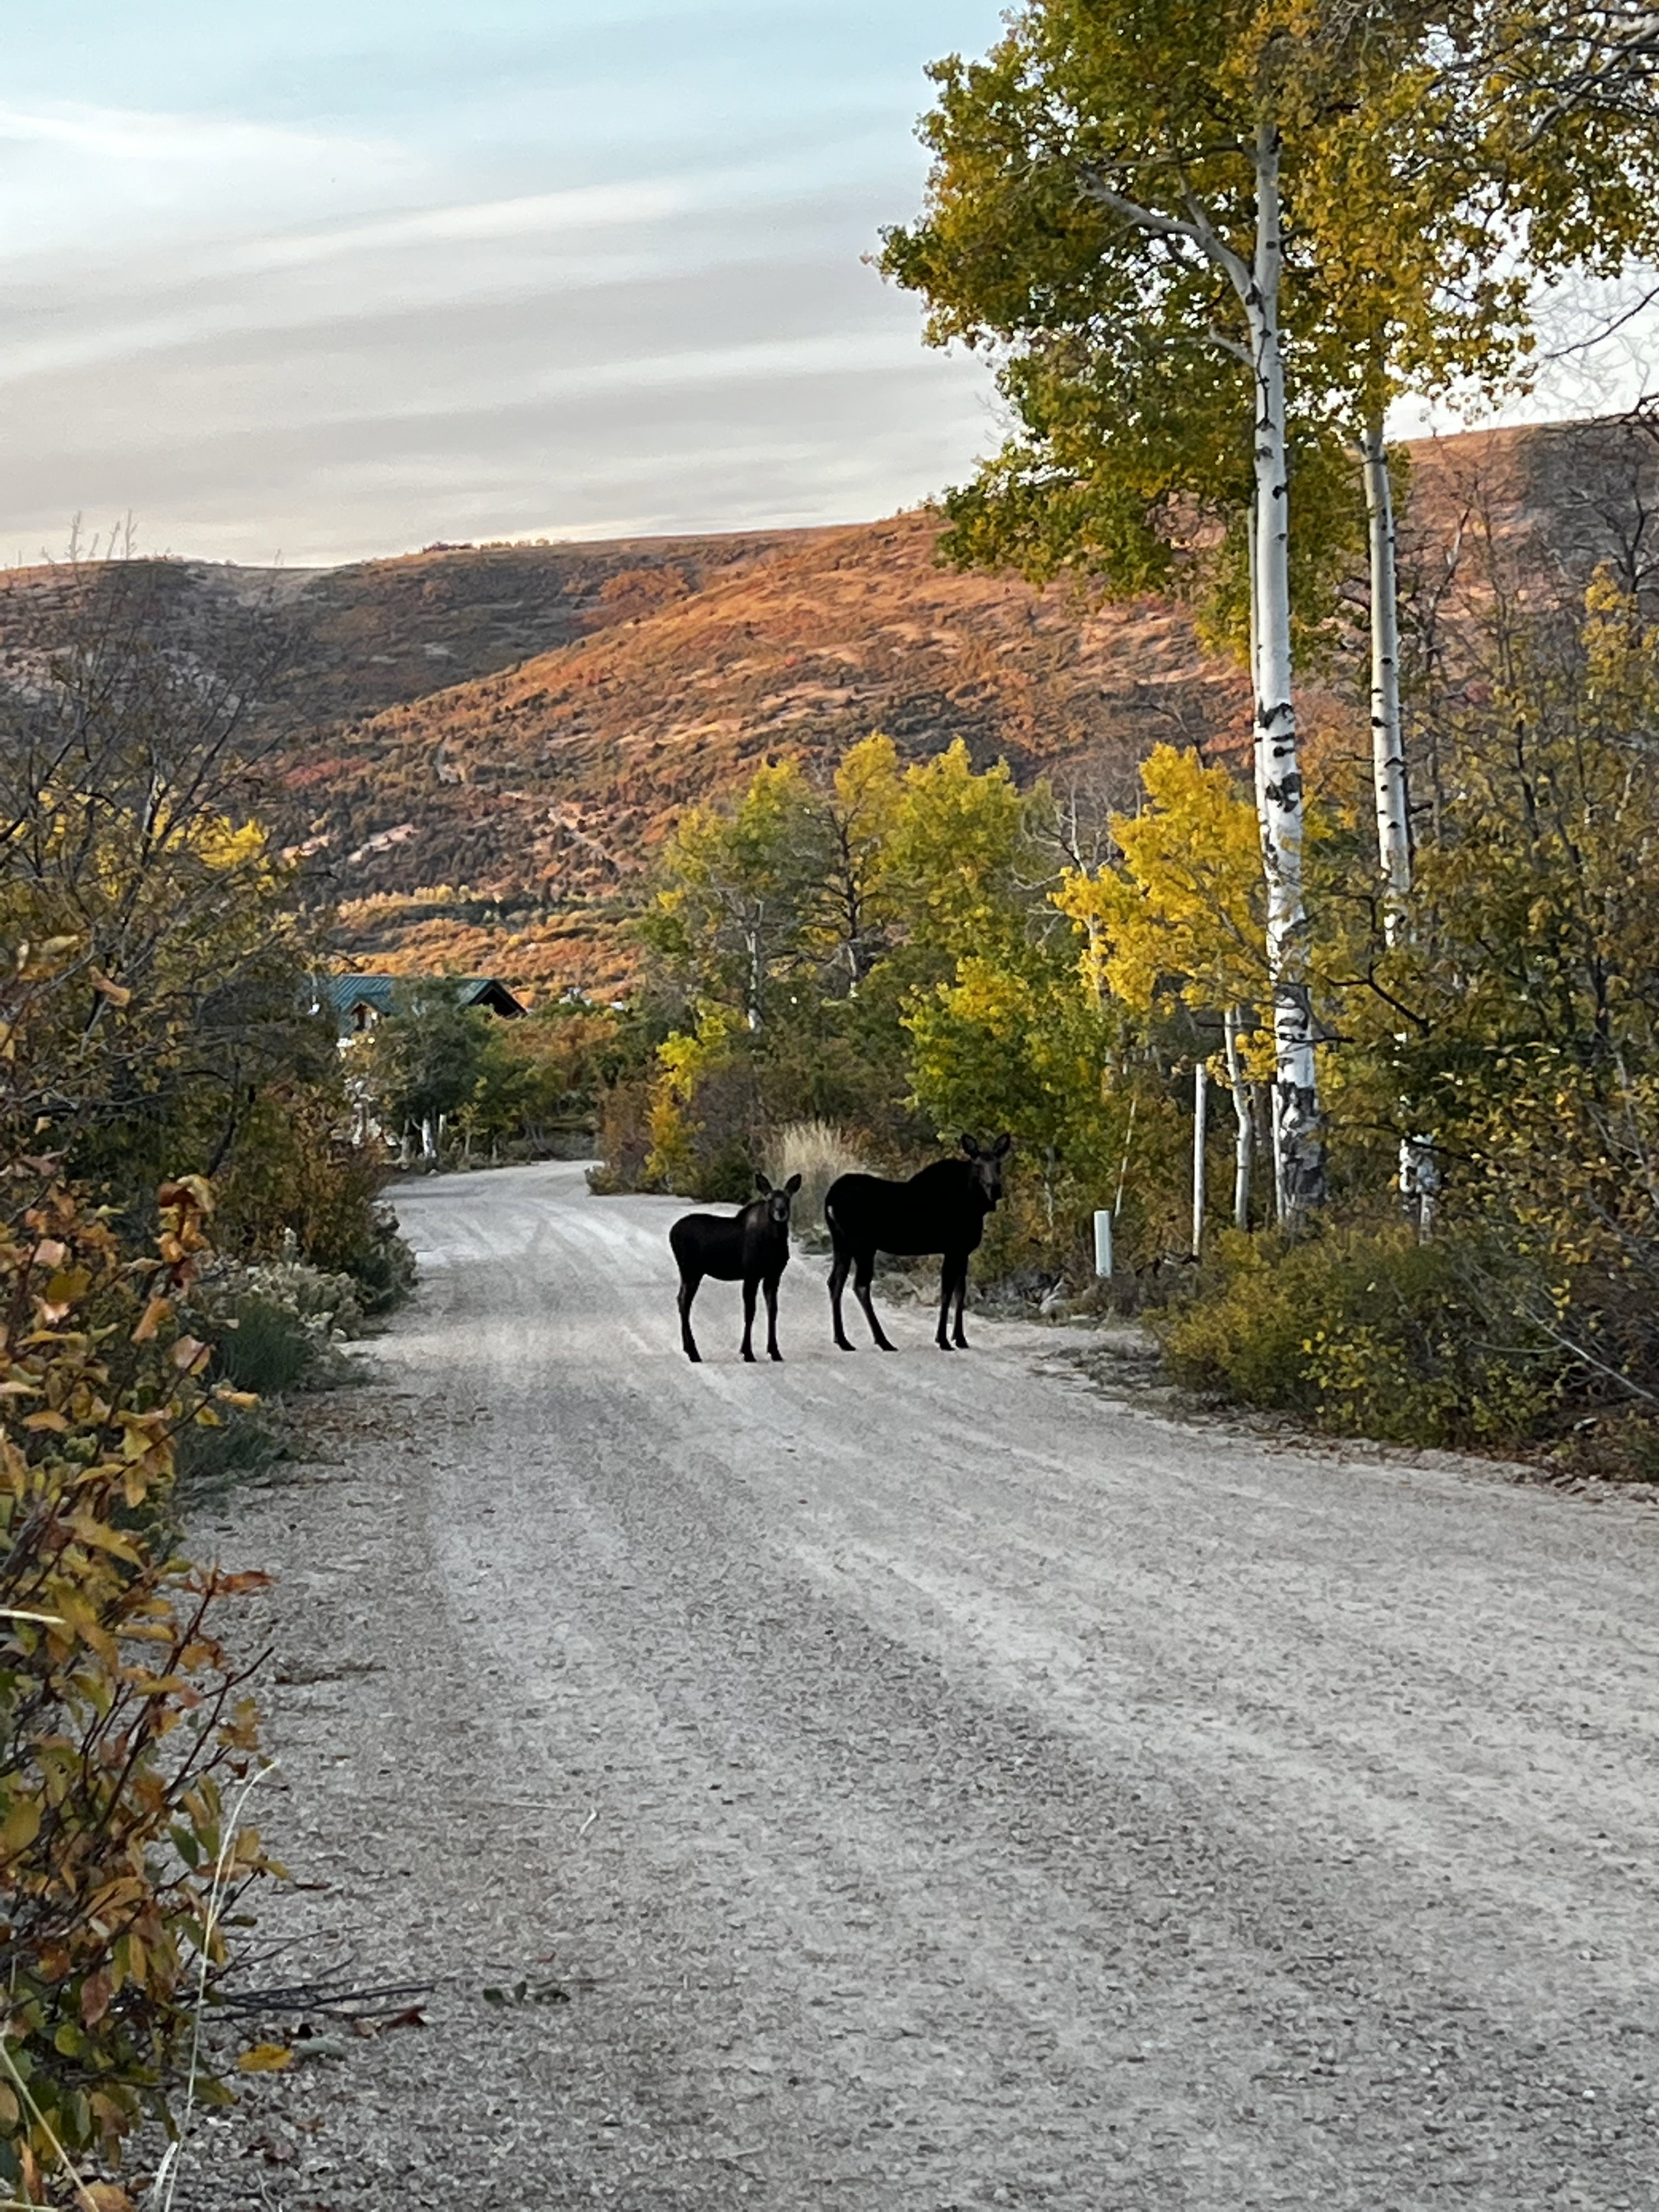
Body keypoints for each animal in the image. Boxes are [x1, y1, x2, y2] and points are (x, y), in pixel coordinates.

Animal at [670, 1172, 802, 1364]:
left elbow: (773, 1311)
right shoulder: (751, 1275)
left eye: (787, 1198)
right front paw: (748, 1353)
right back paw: (694, 1353)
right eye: (770, 1199)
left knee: (681, 1300)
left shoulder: (774, 1276)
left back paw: (689, 1349)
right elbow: (750, 1312)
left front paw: (775, 1352)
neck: (774, 1242)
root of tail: (671, 1233)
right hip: (691, 1271)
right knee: (684, 1302)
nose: (781, 1212)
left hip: (689, 1273)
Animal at [824, 1134, 1012, 1353]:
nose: (996, 1190)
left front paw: (960, 1339)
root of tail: (830, 1200)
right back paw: (883, 1341)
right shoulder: (953, 1249)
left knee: (835, 1282)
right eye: (978, 1165)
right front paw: (944, 1340)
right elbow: (946, 1293)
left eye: (999, 1164)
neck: (975, 1206)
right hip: (863, 1246)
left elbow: (960, 1293)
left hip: (841, 1244)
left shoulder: (963, 1252)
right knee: (860, 1286)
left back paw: (842, 1340)